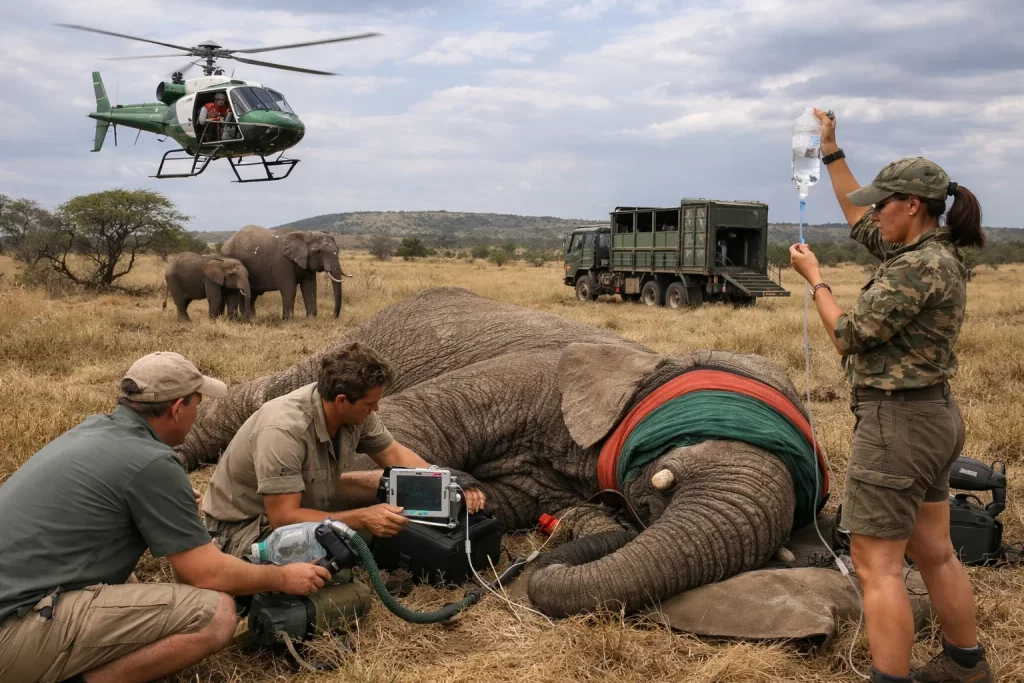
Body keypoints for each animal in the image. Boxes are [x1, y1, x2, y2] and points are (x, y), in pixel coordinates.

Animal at [177, 287, 836, 623]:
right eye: (666, 475)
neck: (644, 361)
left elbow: (517, 499)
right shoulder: (528, 380)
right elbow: (405, 425)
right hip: (355, 346)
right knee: (259, 398)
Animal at [220, 224, 352, 319]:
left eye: (338, 250)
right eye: (318, 252)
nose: (334, 317)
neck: (304, 234)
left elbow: (310, 287)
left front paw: (311, 319)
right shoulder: (282, 262)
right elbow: (289, 289)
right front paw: (288, 320)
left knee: (252, 294)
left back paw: (252, 317)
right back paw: (247, 318)